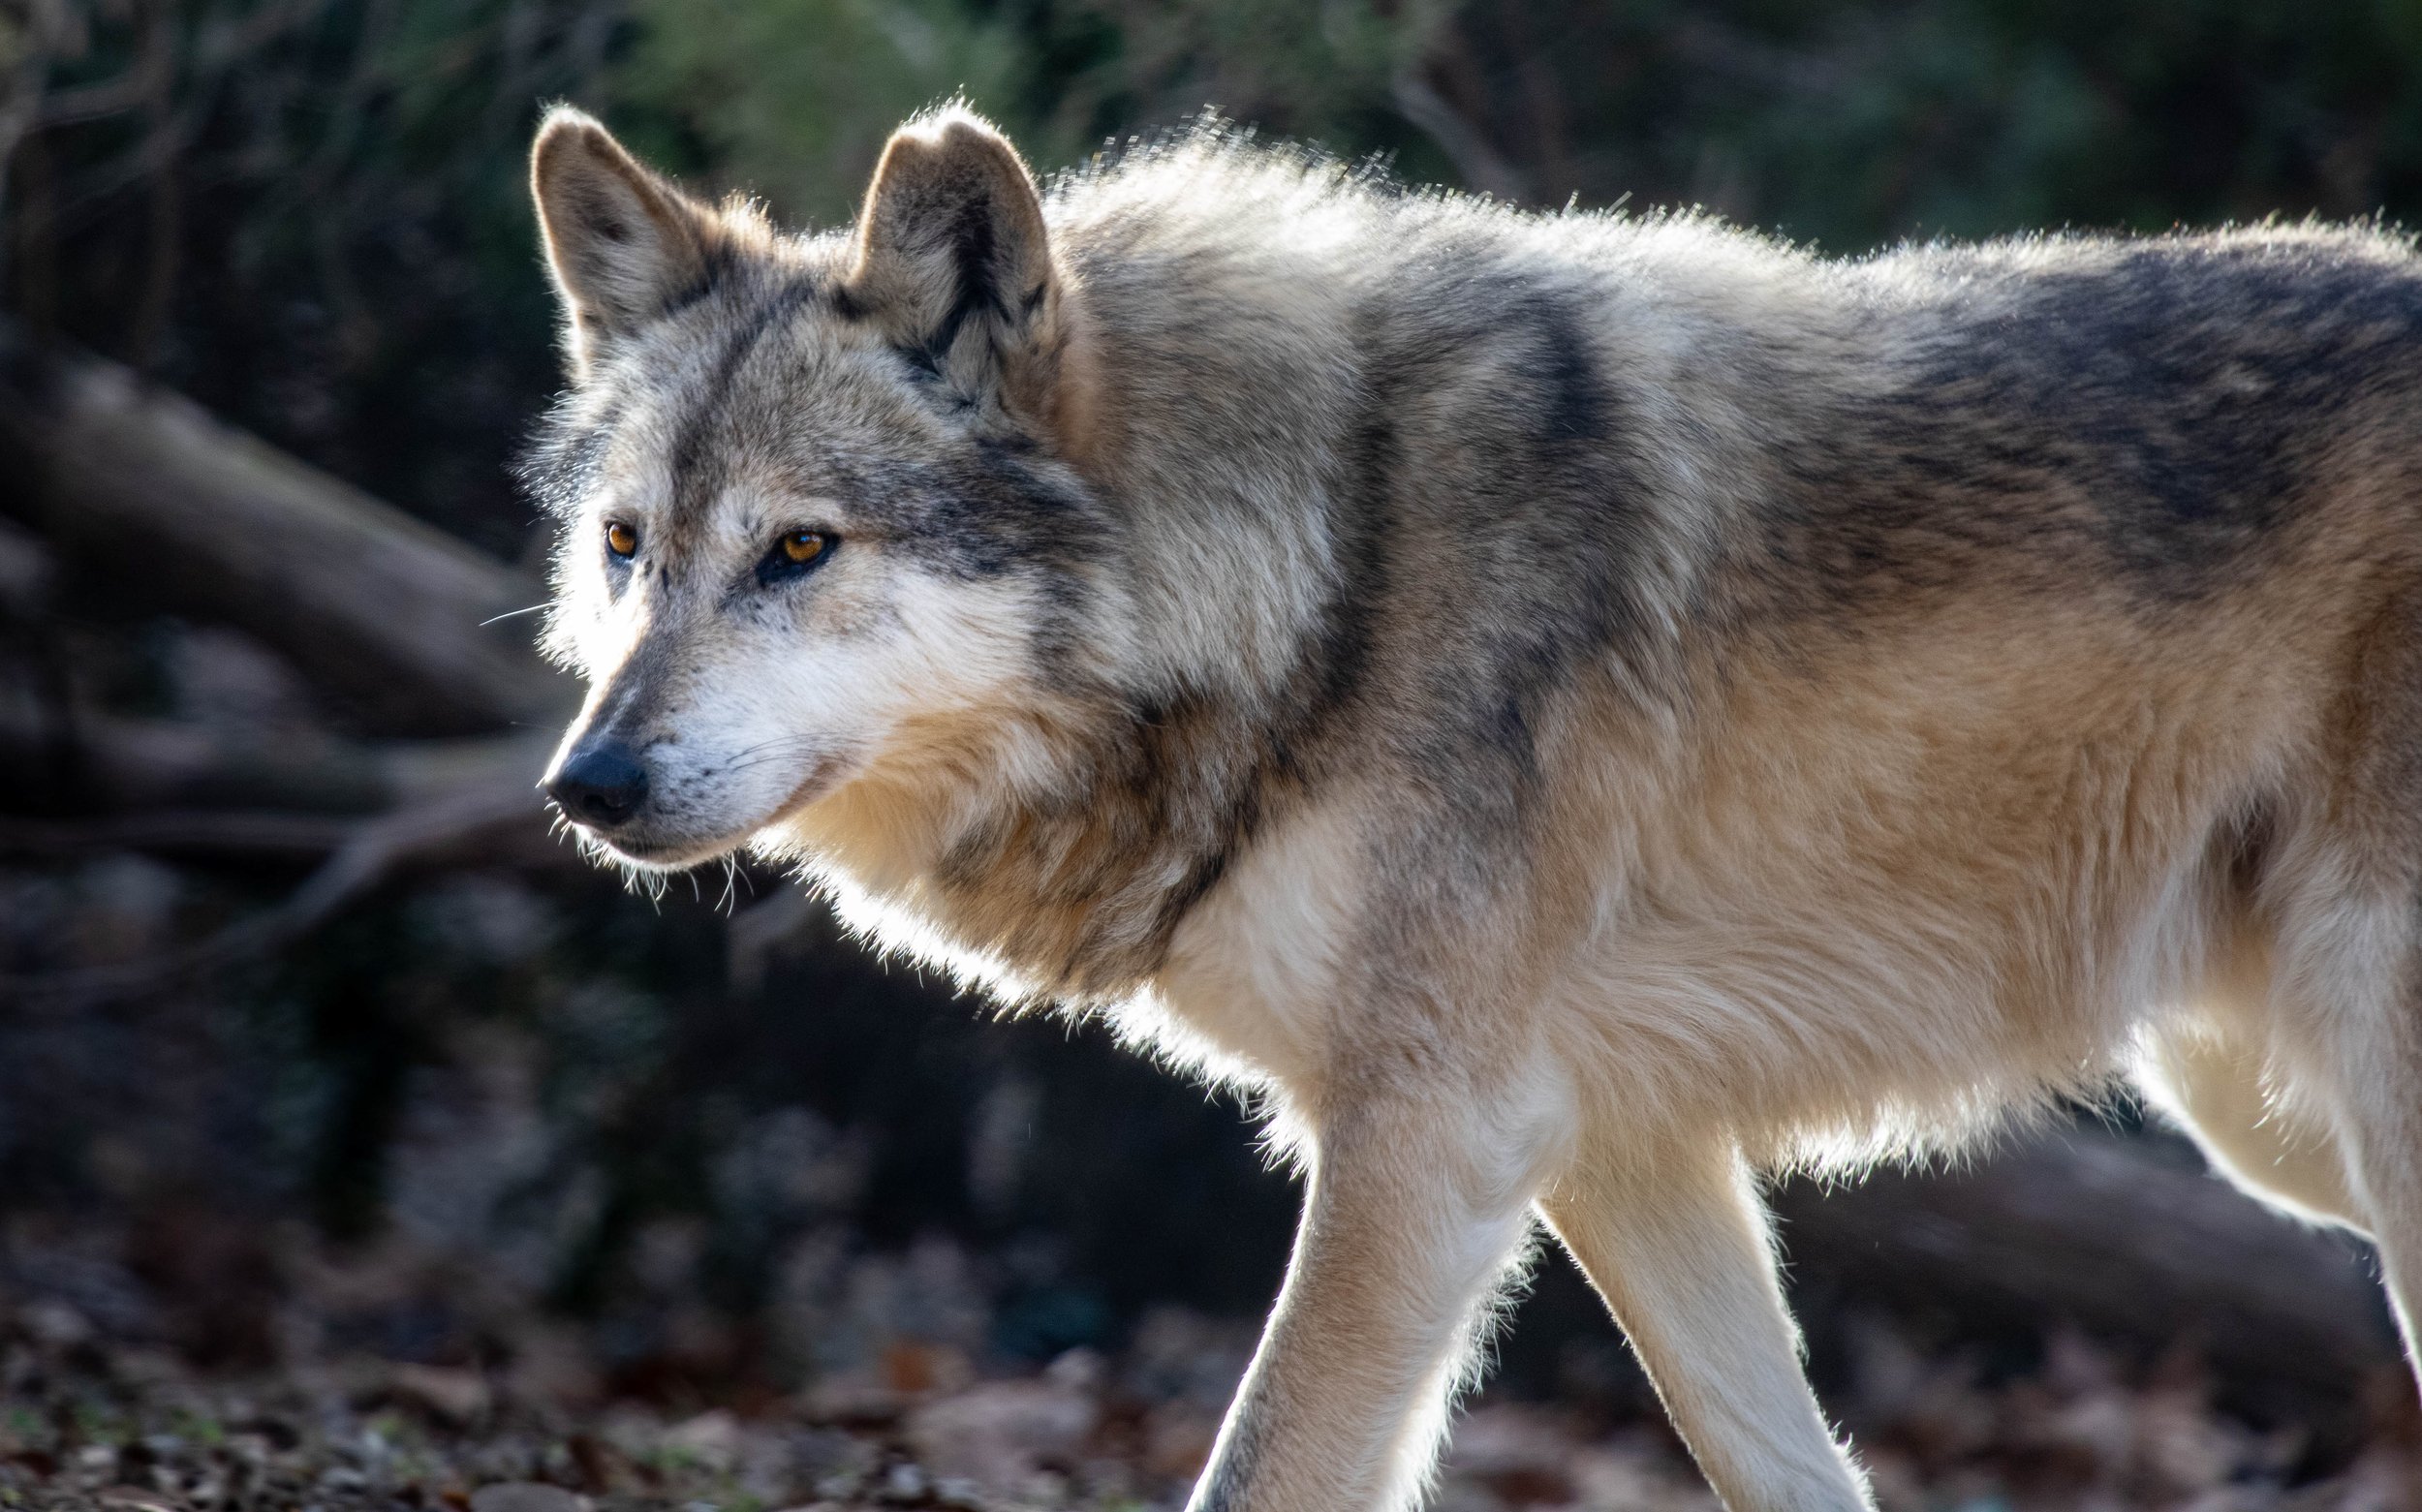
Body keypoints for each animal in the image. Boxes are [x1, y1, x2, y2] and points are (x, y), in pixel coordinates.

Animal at [524, 99, 2422, 1511]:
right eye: (627, 547)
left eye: (799, 548)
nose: (584, 784)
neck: (1329, 569)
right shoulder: (1625, 1145)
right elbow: (1787, 1465)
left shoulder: (1429, 1144)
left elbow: (1264, 1466)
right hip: (2265, 1120)